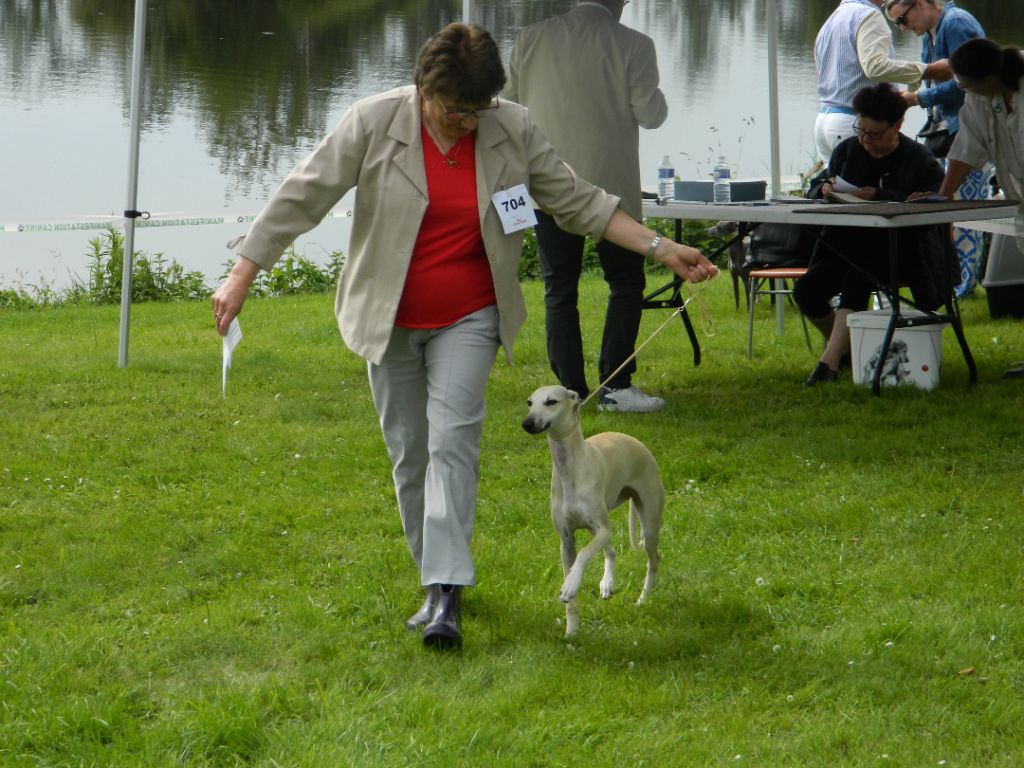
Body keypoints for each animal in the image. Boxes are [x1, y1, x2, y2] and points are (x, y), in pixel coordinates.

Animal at [520, 385, 663, 638]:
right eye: (529, 403)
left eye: (551, 401)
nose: (527, 423)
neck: (570, 469)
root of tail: (638, 443)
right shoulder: (566, 539)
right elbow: (573, 569)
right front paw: (571, 630)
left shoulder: (604, 529)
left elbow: (584, 554)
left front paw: (570, 585)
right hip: (596, 527)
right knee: (612, 552)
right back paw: (607, 584)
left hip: (647, 525)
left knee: (653, 560)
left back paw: (642, 600)